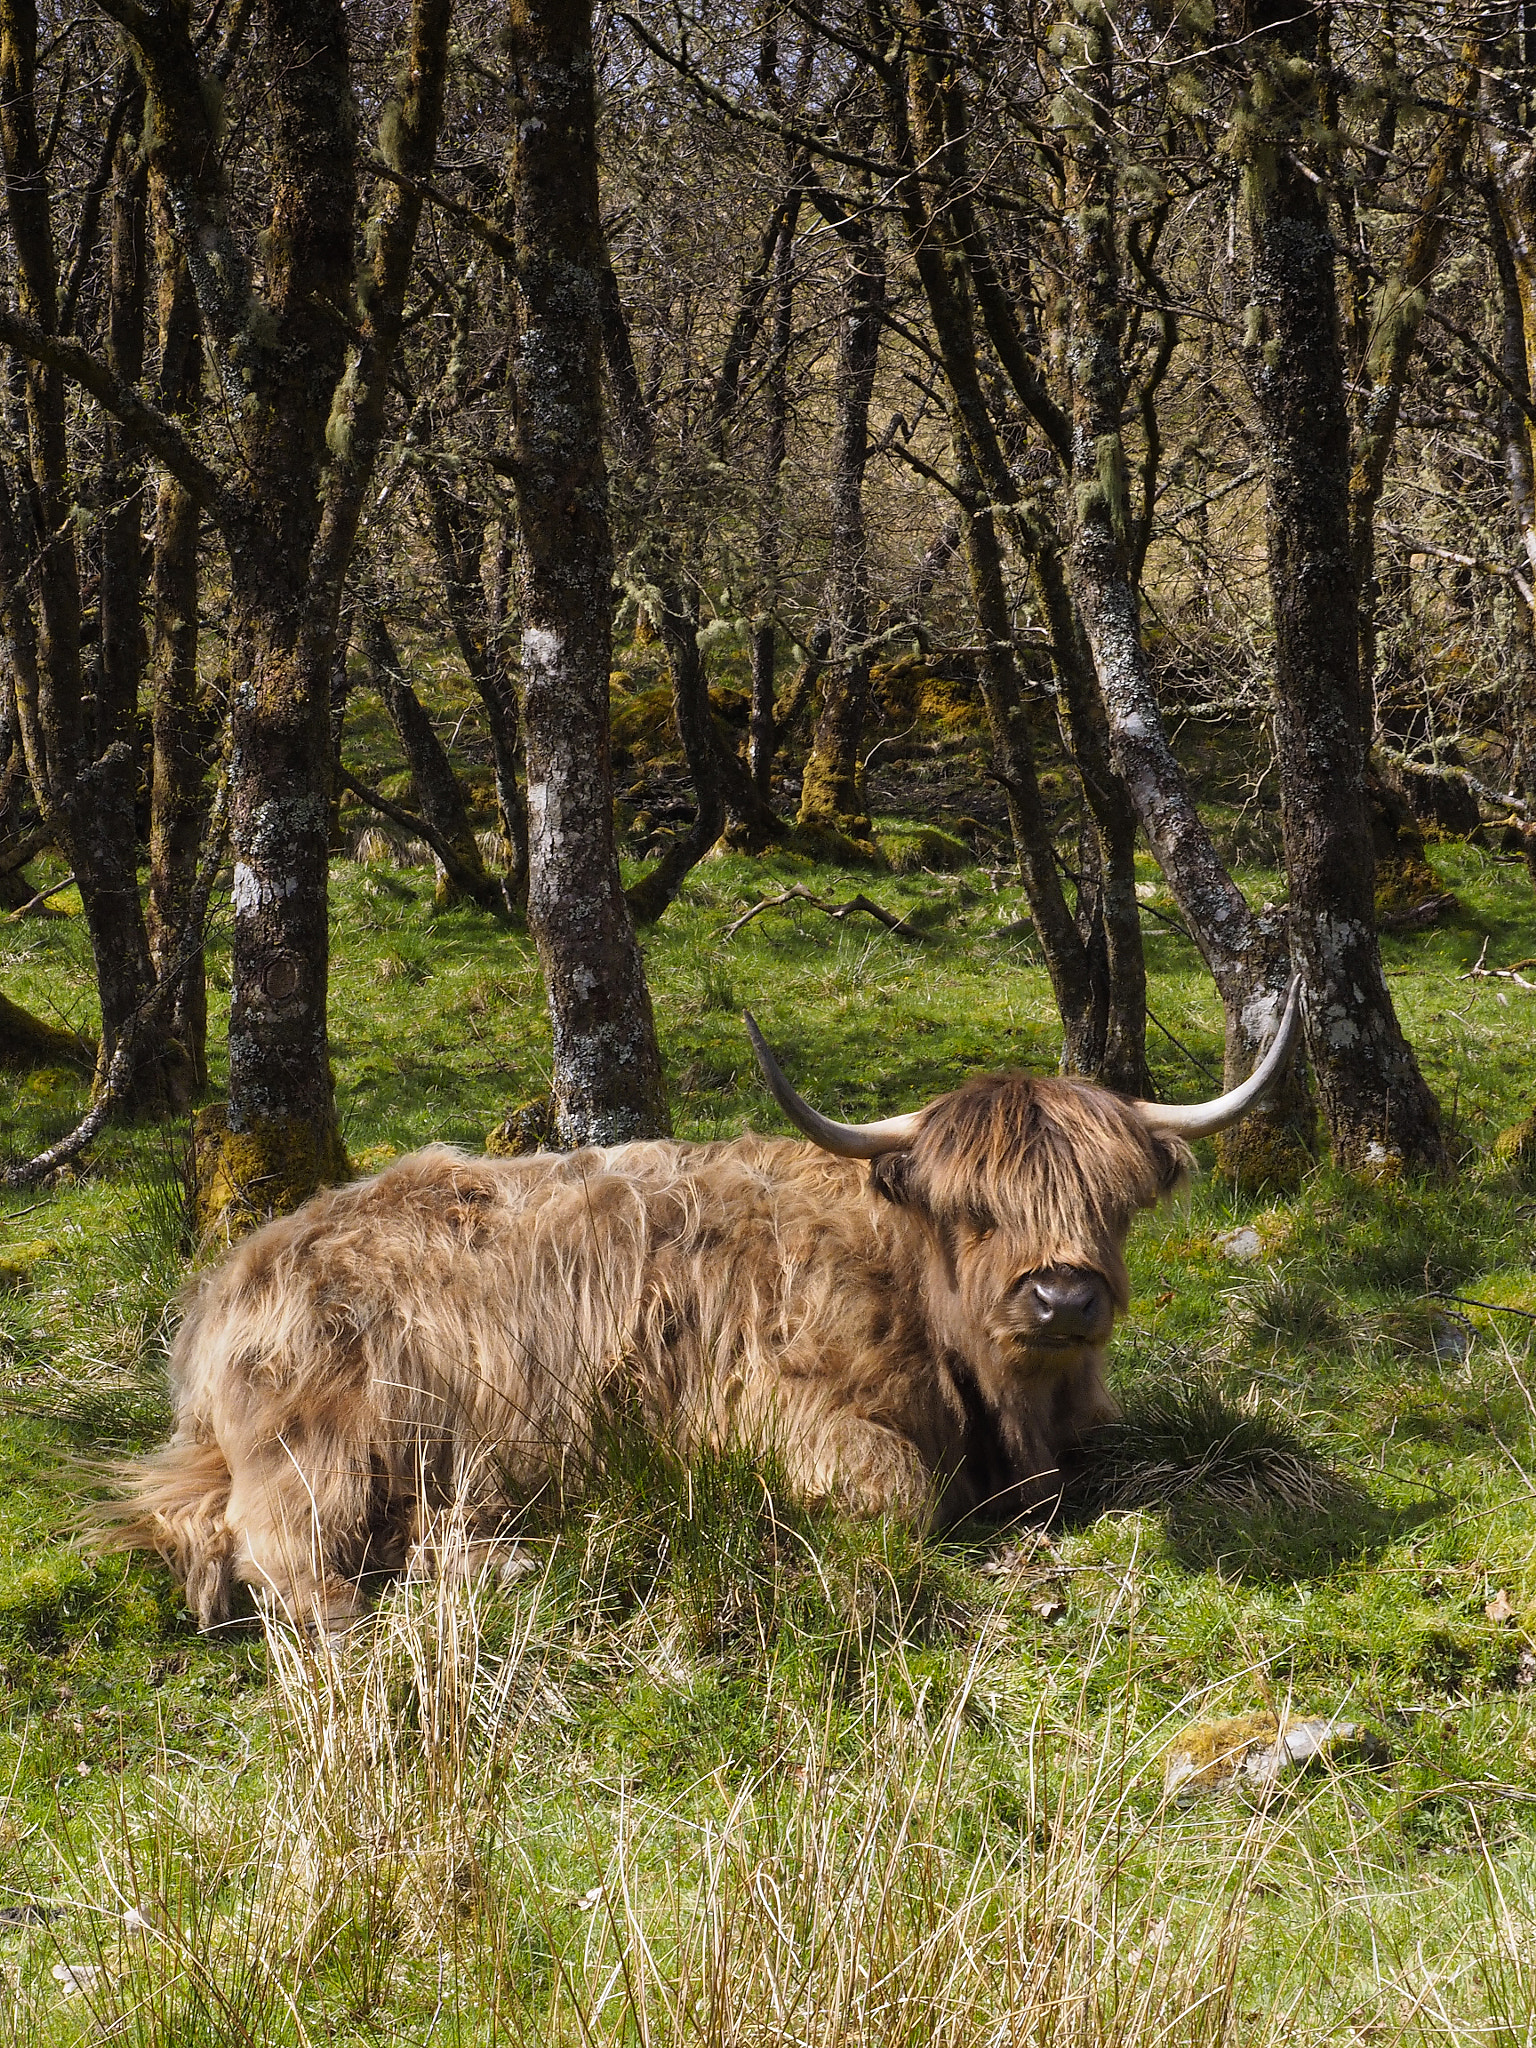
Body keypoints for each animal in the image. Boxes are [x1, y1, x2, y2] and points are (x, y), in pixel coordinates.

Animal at [112, 983, 1301, 1631]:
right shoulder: (783, 1418)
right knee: (284, 1560)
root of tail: (240, 1272)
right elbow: (902, 1497)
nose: (1062, 1294)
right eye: (974, 1210)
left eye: (1113, 1202)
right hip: (318, 1446)